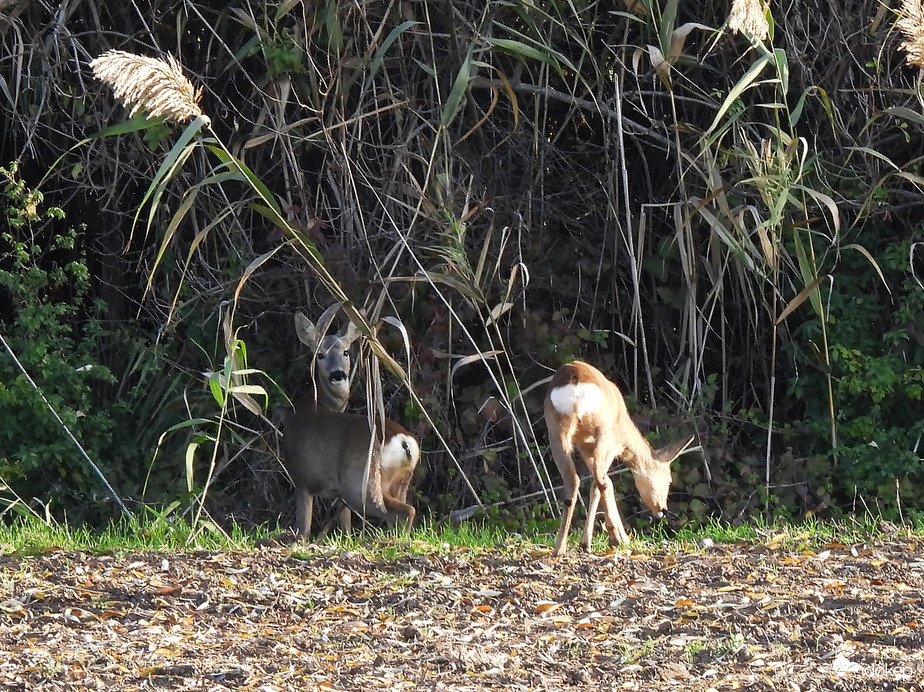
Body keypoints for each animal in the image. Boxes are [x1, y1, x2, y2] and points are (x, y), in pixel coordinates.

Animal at [284, 306, 420, 536]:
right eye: (320, 354)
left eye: (346, 352)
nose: (338, 374)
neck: (314, 403)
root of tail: (403, 441)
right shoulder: (338, 494)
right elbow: (345, 525)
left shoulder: (302, 478)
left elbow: (303, 530)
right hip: (398, 481)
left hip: (360, 482)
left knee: (403, 511)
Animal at [540, 362, 692, 556]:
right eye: (668, 480)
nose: (662, 510)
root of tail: (575, 385)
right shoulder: (612, 445)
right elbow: (604, 484)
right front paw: (614, 538)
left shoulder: (583, 446)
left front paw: (585, 543)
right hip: (602, 432)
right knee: (601, 480)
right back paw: (615, 538)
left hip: (556, 431)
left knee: (573, 480)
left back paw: (559, 548)